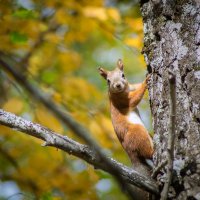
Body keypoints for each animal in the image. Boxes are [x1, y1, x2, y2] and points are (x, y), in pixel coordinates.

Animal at [98, 58, 153, 199]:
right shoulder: (122, 101)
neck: (124, 90)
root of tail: (130, 152)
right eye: (108, 81)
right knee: (148, 153)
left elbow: (136, 88)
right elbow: (134, 99)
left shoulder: (131, 86)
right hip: (137, 132)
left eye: (123, 75)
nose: (117, 85)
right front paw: (146, 81)